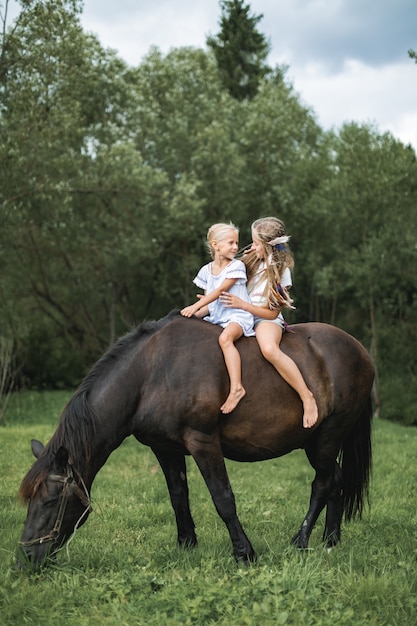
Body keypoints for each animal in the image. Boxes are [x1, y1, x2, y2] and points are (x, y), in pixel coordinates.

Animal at [17, 310, 372, 568]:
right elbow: (178, 496)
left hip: (327, 438)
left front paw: (245, 553)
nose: (25, 559)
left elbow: (223, 498)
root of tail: (360, 350)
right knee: (335, 479)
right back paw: (330, 540)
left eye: (50, 501)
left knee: (322, 483)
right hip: (317, 443)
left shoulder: (203, 442)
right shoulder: (164, 448)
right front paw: (186, 544)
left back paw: (301, 541)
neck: (150, 374)